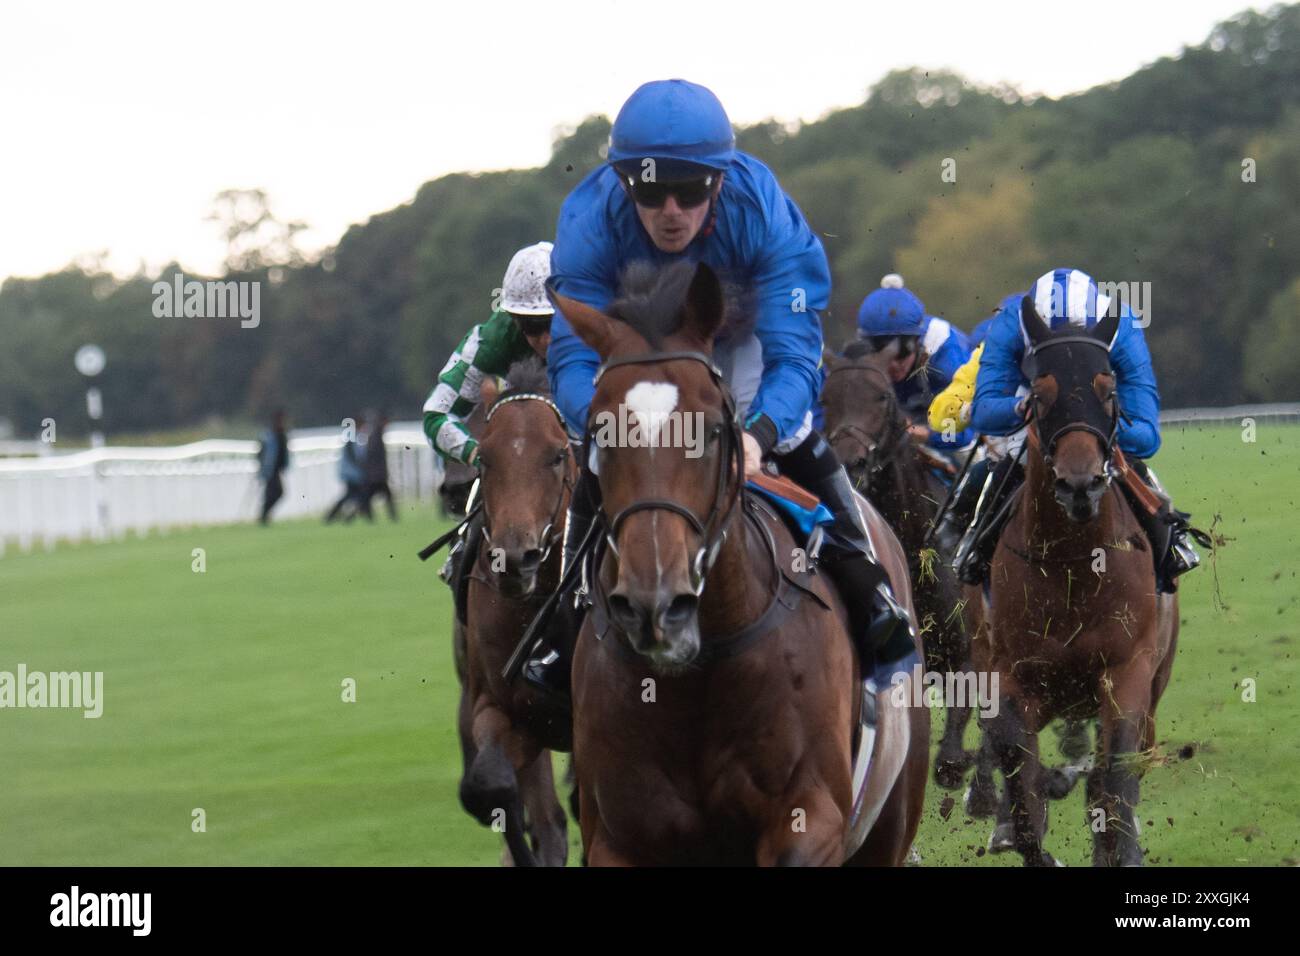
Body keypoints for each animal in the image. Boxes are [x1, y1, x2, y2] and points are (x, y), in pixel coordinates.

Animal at [553, 264, 930, 868]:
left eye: (710, 429)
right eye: (598, 432)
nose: (656, 604)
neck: (700, 671)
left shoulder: (810, 819)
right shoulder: (618, 836)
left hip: (889, 820)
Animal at [982, 299, 1180, 868]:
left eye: (1108, 390)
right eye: (1039, 395)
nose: (1079, 484)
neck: (1074, 564)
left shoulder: (1128, 671)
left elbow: (1115, 778)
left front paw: (1122, 849)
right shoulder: (1012, 678)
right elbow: (1020, 783)